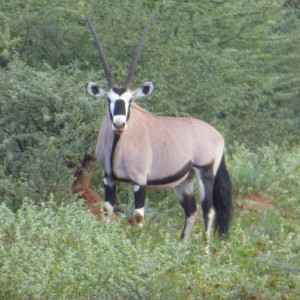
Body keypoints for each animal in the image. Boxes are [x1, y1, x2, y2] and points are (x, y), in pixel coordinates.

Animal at [84, 14, 232, 241]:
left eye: (130, 101)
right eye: (108, 99)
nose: (119, 124)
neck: (119, 145)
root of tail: (218, 136)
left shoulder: (140, 182)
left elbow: (138, 216)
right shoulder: (108, 179)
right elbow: (108, 209)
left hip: (205, 172)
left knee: (208, 211)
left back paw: (203, 250)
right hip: (184, 182)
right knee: (191, 210)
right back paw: (181, 246)